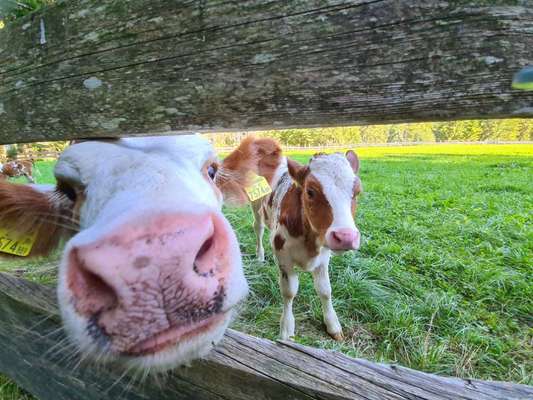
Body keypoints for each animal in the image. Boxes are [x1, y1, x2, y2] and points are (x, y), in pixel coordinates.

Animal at [220, 138, 362, 340]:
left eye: (357, 192)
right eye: (310, 191)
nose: (345, 237)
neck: (309, 243)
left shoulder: (323, 256)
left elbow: (325, 290)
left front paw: (333, 325)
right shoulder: (283, 256)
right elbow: (289, 292)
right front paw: (286, 330)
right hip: (256, 204)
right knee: (258, 228)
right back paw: (260, 256)